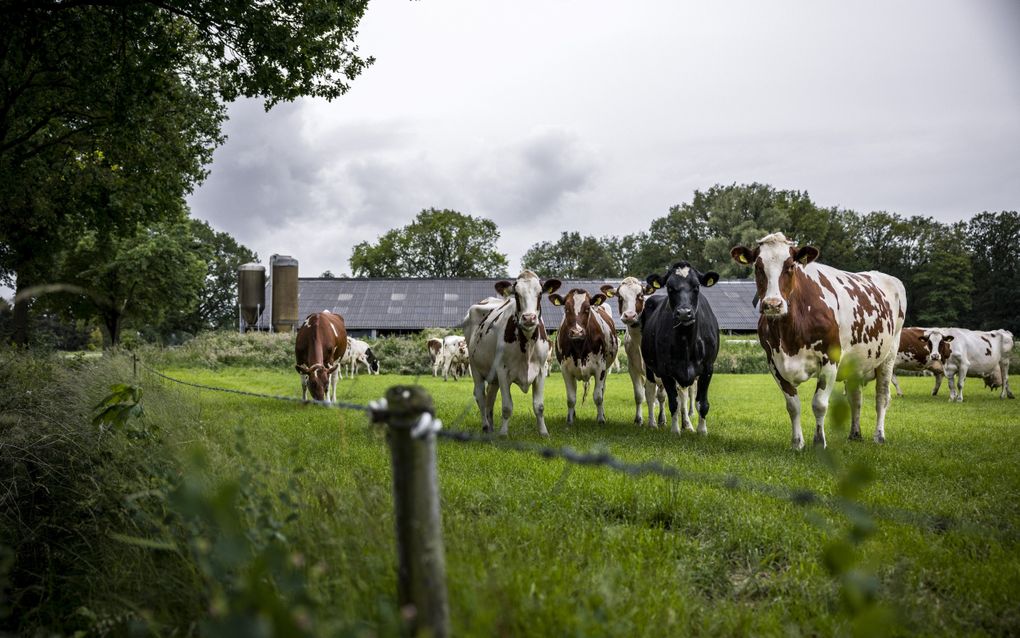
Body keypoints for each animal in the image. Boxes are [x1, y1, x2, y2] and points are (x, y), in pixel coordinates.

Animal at [465, 271, 563, 434]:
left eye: (540, 293)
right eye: (516, 294)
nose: (529, 318)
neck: (527, 345)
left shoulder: (541, 370)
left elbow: (539, 406)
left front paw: (543, 432)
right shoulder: (503, 371)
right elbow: (507, 407)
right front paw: (503, 433)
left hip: (493, 376)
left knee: (490, 397)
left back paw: (491, 426)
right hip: (475, 367)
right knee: (480, 396)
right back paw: (486, 426)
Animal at [550, 287, 620, 422]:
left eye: (587, 308)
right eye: (566, 308)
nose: (577, 332)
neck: (579, 347)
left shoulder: (600, 368)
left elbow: (598, 396)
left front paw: (601, 419)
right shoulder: (565, 369)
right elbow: (571, 398)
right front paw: (570, 420)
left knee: (602, 390)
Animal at [640, 261, 722, 434]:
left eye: (696, 286)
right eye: (670, 287)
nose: (684, 313)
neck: (686, 341)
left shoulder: (708, 368)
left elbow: (701, 403)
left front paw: (702, 430)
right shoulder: (665, 370)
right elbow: (673, 403)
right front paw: (675, 430)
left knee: (683, 394)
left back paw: (687, 424)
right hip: (649, 366)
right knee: (650, 392)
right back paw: (652, 423)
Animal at [730, 232, 905, 447]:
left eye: (791, 266)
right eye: (757, 267)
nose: (773, 304)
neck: (789, 334)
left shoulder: (831, 359)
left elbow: (819, 404)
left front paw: (819, 442)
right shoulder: (774, 363)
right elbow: (793, 405)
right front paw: (797, 442)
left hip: (889, 355)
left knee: (882, 396)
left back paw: (879, 435)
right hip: (856, 363)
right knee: (855, 398)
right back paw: (855, 434)